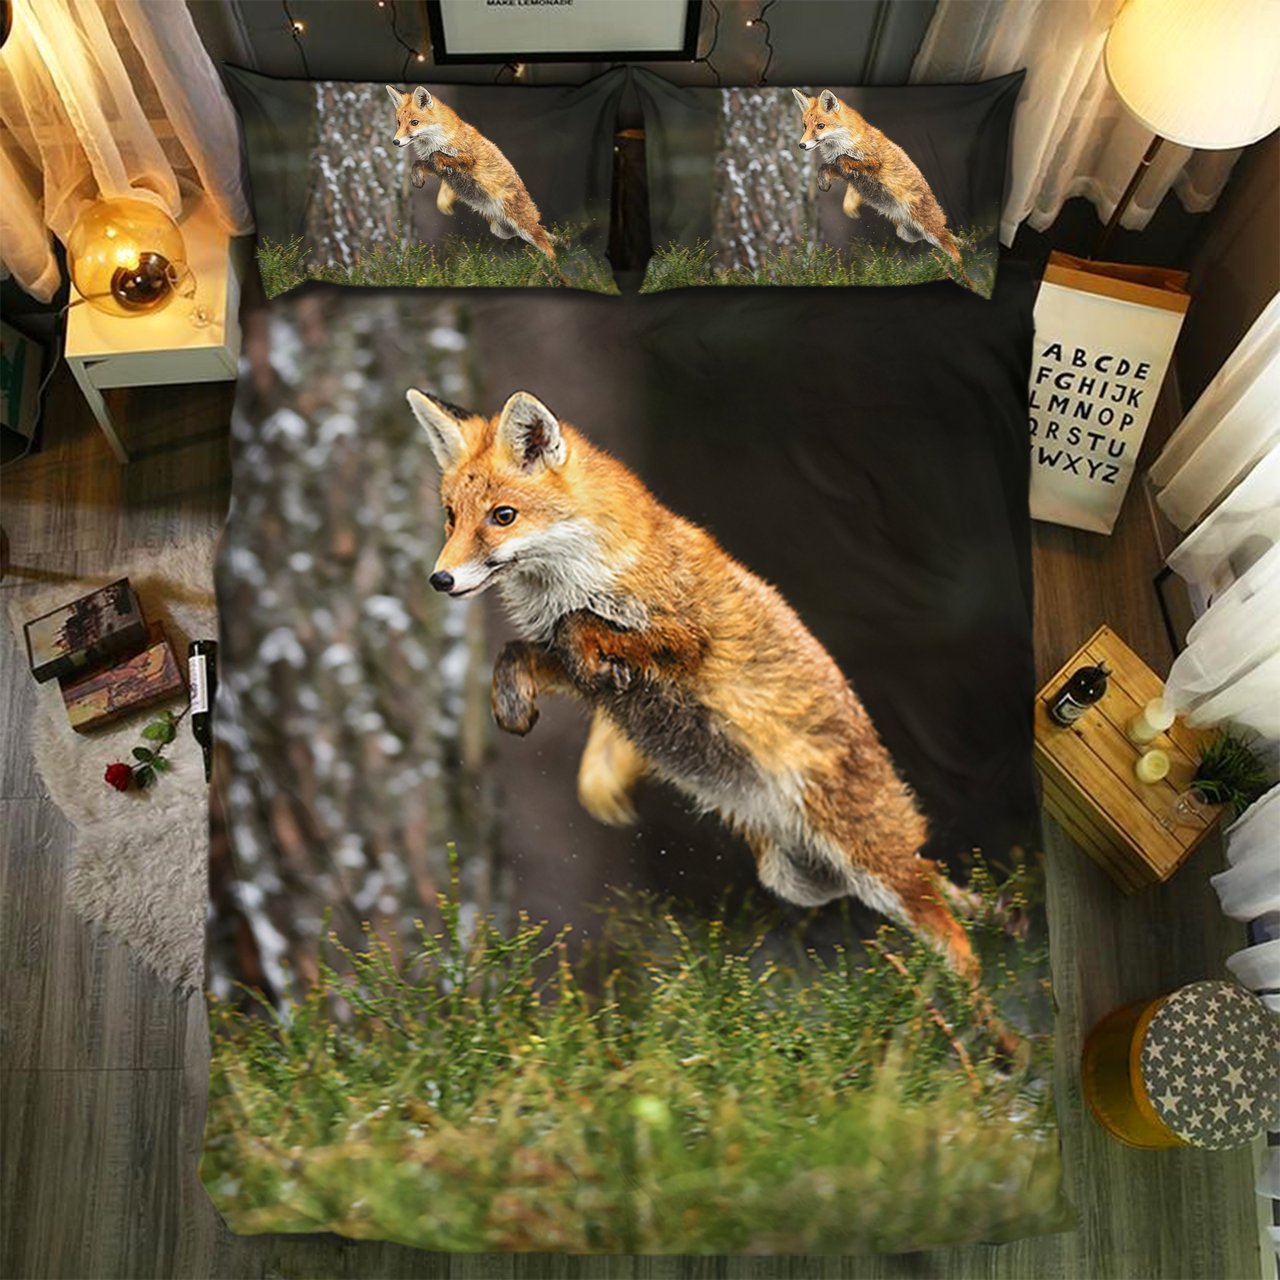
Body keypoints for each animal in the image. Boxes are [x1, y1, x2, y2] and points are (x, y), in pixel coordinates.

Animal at [385, 85, 557, 264]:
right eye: (399, 123)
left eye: (414, 123)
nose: (395, 142)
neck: (438, 140)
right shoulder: (433, 168)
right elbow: (418, 163)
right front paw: (417, 179)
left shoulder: (468, 158)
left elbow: (437, 155)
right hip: (501, 230)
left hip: (525, 228)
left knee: (551, 251)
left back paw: (550, 269)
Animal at [408, 386, 1017, 1051]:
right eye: (450, 517)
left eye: (503, 516)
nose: (440, 578)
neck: (578, 575)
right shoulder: (564, 664)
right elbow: (522, 652)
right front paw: (514, 703)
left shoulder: (686, 636)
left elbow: (582, 627)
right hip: (803, 880)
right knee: (937, 895)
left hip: (870, 863)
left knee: (959, 942)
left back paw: (1002, 1047)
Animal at [792, 88, 972, 287]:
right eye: (804, 126)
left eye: (820, 126)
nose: (801, 145)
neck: (843, 143)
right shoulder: (841, 172)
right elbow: (825, 167)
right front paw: (824, 183)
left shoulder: (873, 162)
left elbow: (844, 159)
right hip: (908, 234)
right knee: (950, 242)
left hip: (931, 232)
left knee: (957, 255)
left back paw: (967, 280)